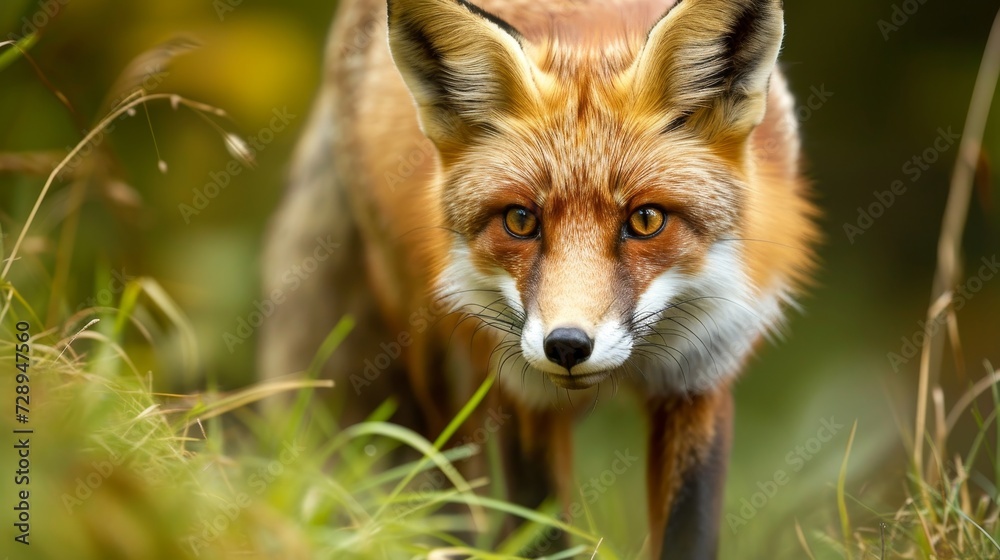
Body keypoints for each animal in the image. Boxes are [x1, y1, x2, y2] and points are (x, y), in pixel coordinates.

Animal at [260, 0, 816, 557]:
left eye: (646, 220)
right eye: (521, 221)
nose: (567, 345)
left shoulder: (700, 378)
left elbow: (688, 529)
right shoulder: (524, 390)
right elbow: (540, 528)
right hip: (433, 353)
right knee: (449, 474)